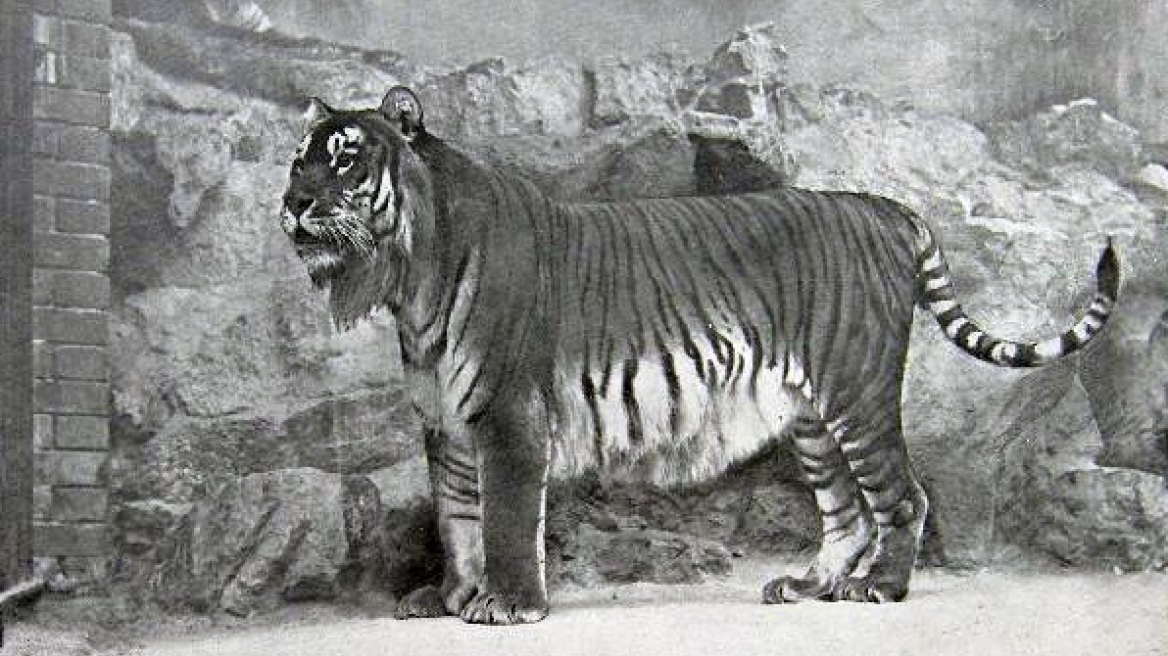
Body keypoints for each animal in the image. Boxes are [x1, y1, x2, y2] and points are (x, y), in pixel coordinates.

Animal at [279, 86, 1121, 625]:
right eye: (297, 160)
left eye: (346, 158)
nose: (292, 203)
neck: (410, 277)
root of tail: (881, 206)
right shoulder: (445, 422)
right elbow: (456, 517)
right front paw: (450, 597)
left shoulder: (507, 417)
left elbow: (506, 518)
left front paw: (509, 605)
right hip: (812, 417)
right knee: (846, 511)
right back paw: (807, 586)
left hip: (858, 392)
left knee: (902, 497)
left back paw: (879, 588)